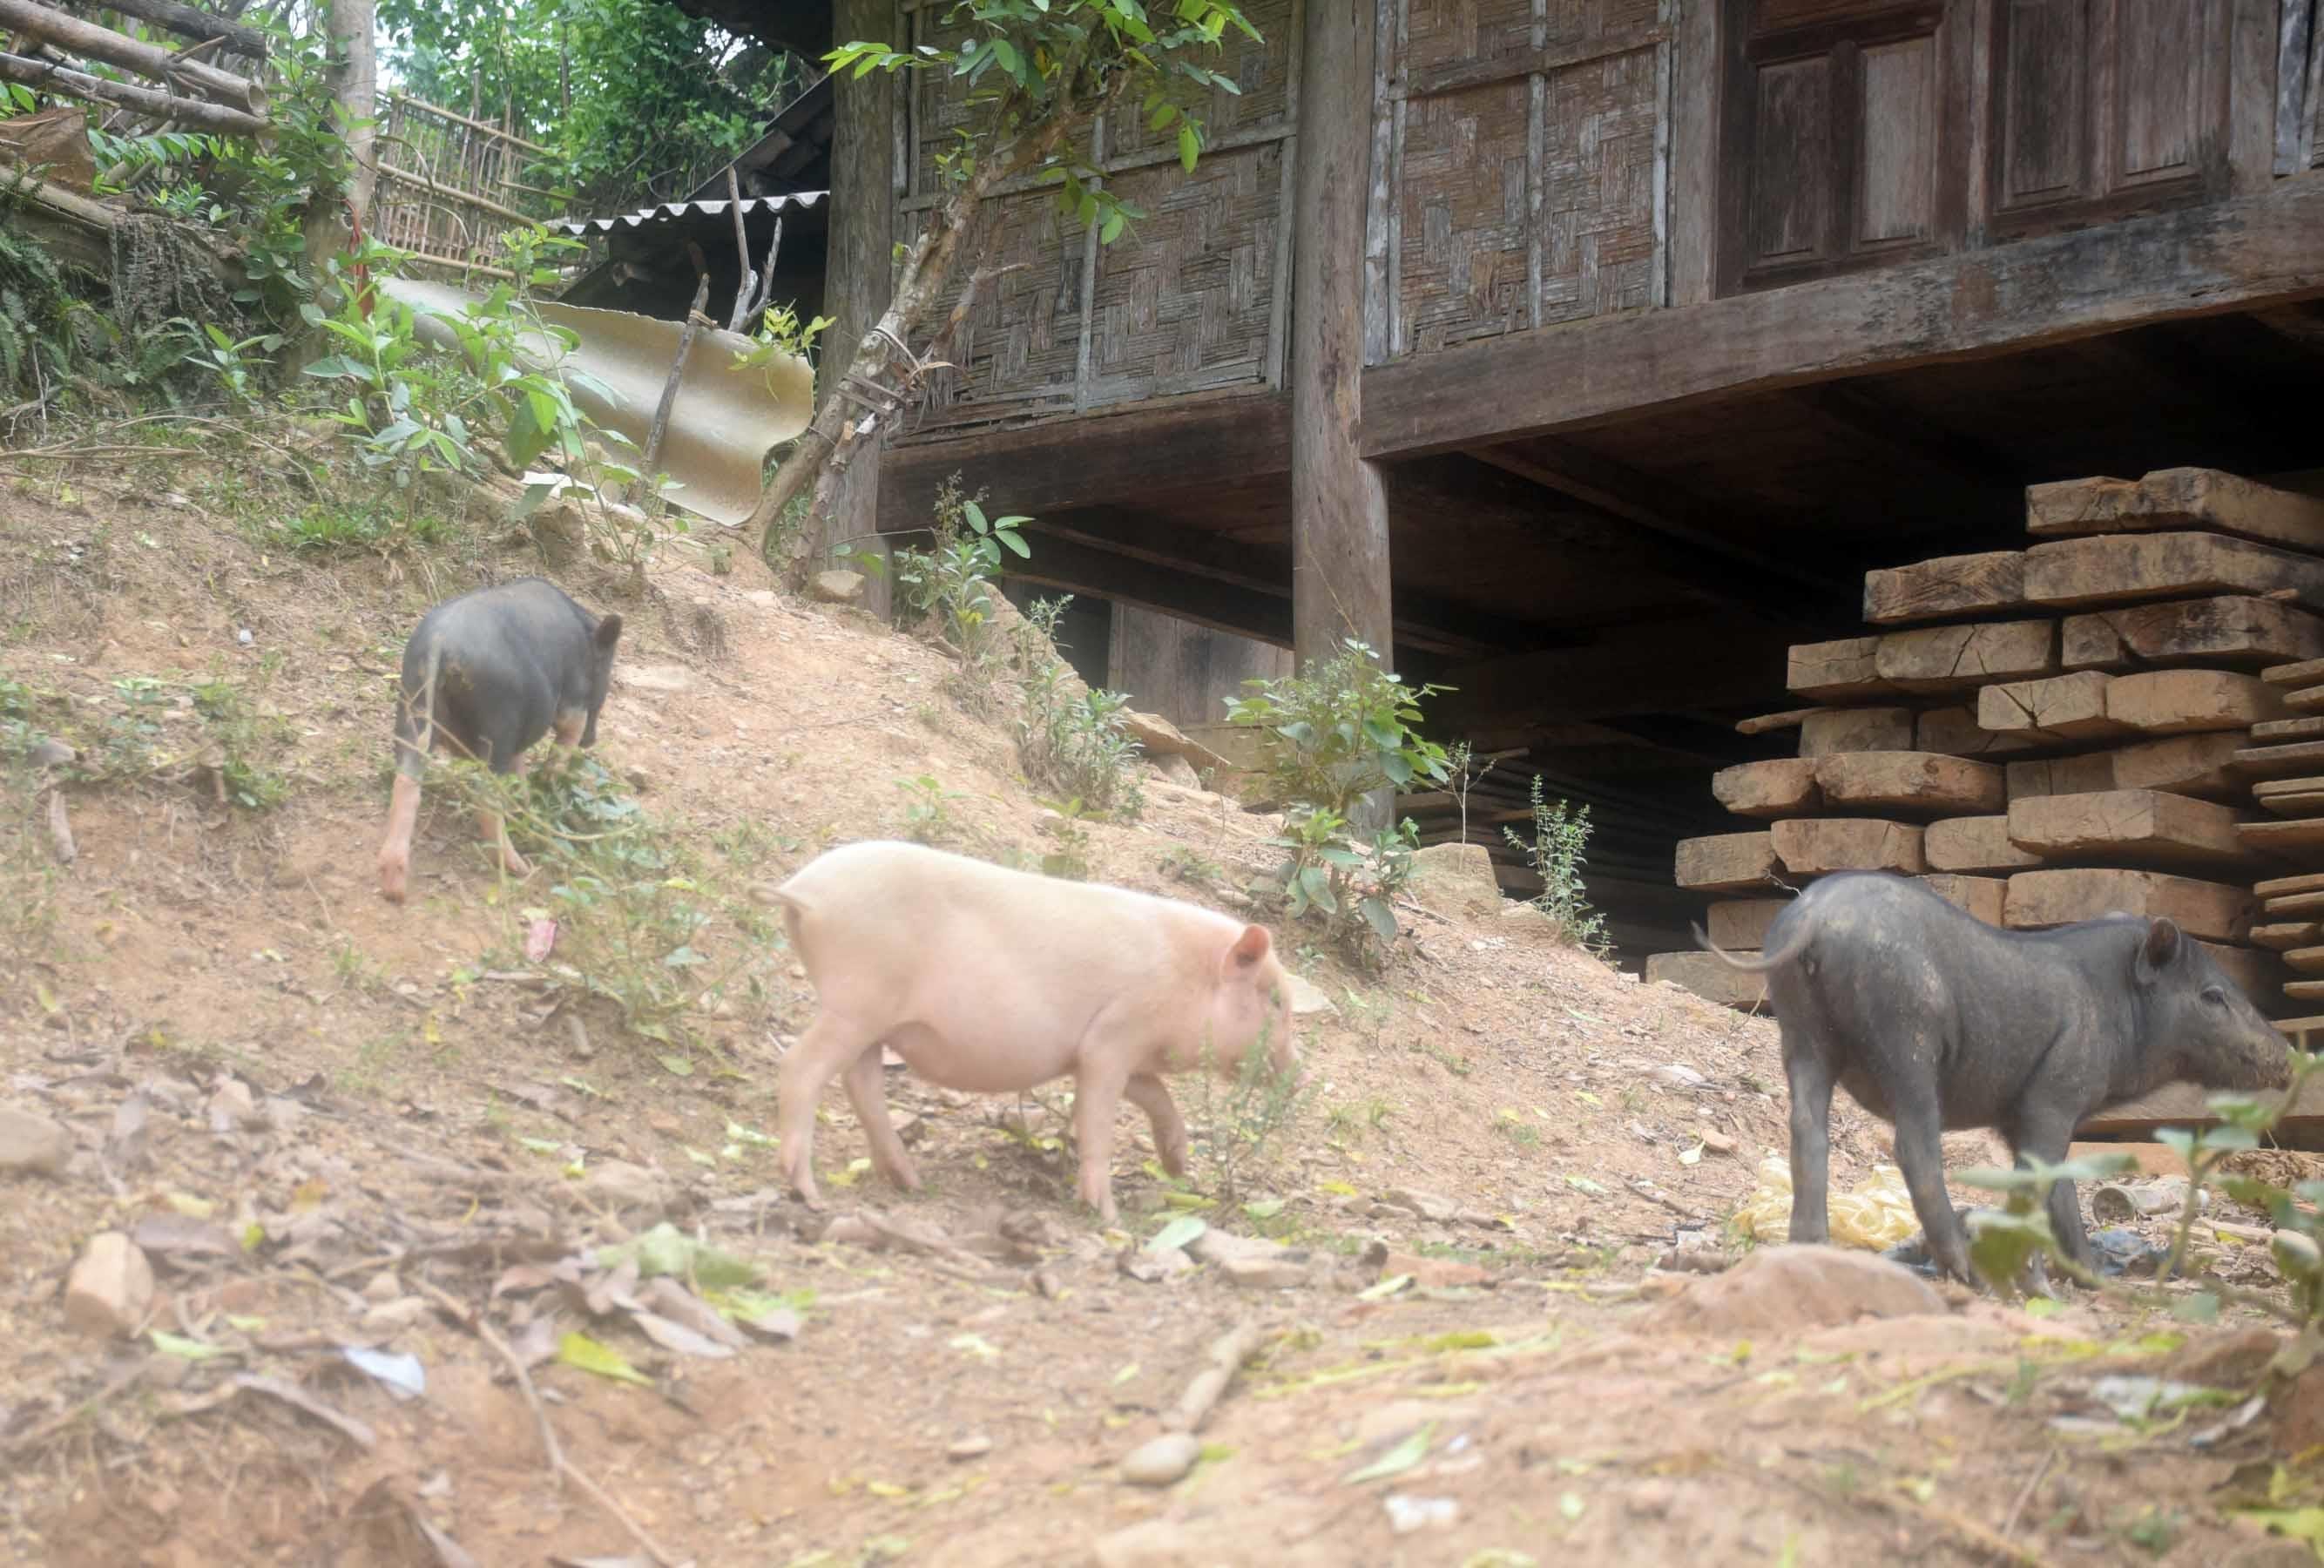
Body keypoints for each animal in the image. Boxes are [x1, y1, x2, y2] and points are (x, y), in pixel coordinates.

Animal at [374, 576, 623, 901]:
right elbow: (561, 747)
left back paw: (394, 888)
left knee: (407, 778)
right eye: (608, 670)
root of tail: (439, 645)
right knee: (487, 796)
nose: (591, 741)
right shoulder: (573, 704)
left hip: (412, 704)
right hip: (499, 724)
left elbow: (520, 776)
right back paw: (519, 868)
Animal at [767, 845, 1301, 1227]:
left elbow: (1157, 1095)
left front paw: (1178, 1166)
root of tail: (803, 889)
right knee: (800, 1066)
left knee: (861, 1084)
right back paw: (808, 1194)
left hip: (870, 1020)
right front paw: (1108, 1217)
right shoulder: (1112, 1037)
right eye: (1276, 1000)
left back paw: (909, 1184)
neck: (1188, 977)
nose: (1299, 1076)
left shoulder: (1111, 1053)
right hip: (856, 1002)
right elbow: (1099, 1120)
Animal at [1710, 868, 2287, 1291]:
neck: (2113, 1004)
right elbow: (2039, 1186)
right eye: (2213, 995)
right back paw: (1968, 1273)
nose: (2286, 1053)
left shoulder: (2018, 1118)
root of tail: (1815, 916)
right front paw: (2045, 1288)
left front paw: (2095, 1280)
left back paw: (1810, 1247)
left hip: (1800, 1030)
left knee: (1807, 1130)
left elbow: (2059, 1192)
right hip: (1907, 1033)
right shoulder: (2053, 1097)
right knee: (1914, 1146)